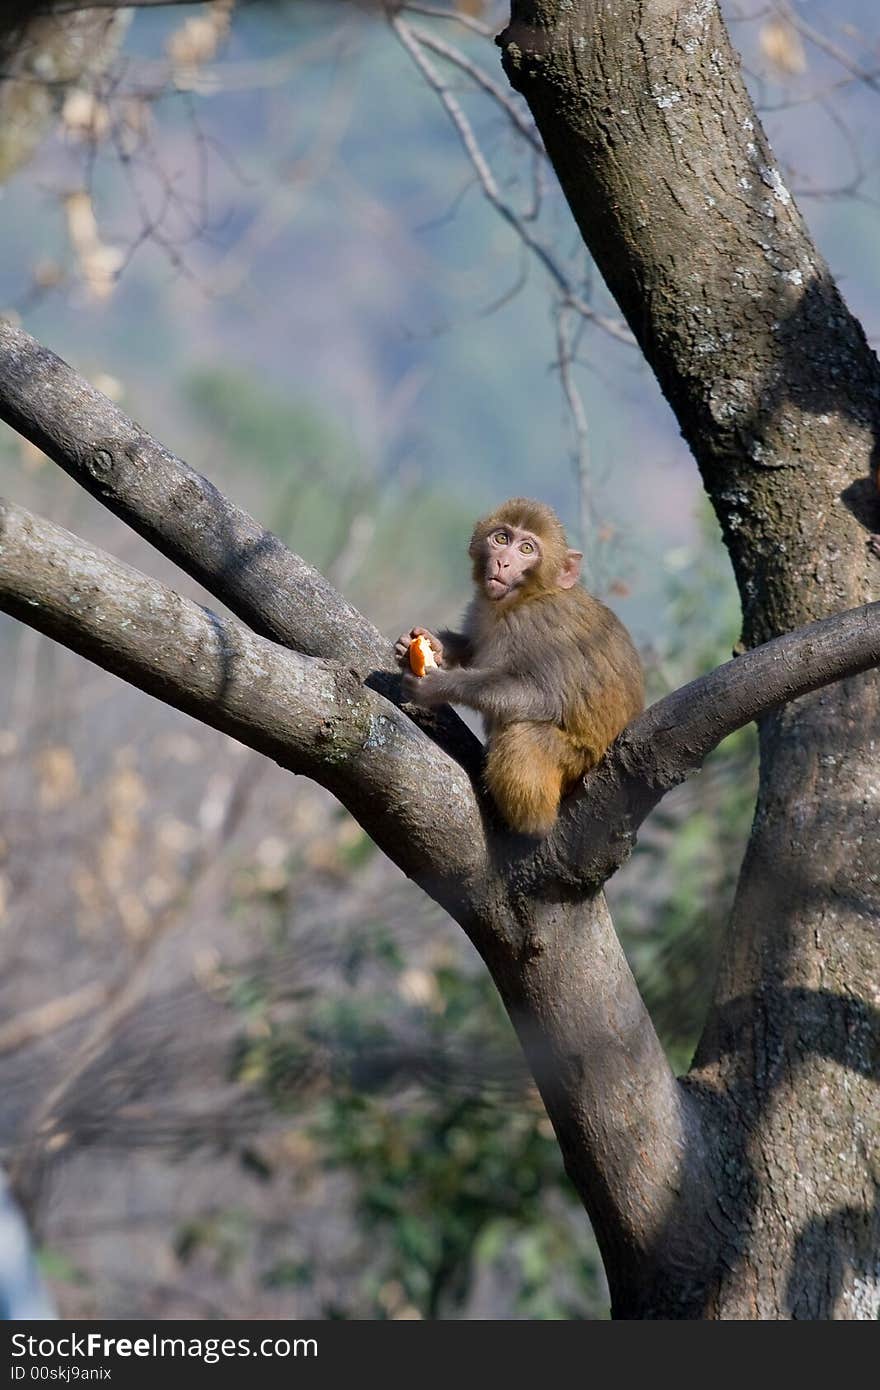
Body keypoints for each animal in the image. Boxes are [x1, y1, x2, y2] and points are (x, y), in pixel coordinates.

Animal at [394, 500, 642, 834]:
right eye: (502, 539)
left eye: (526, 549)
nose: (503, 563)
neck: (525, 598)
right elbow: (473, 648)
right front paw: (427, 645)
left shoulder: (539, 627)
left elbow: (546, 698)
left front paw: (436, 685)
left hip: (579, 762)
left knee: (523, 734)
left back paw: (531, 826)